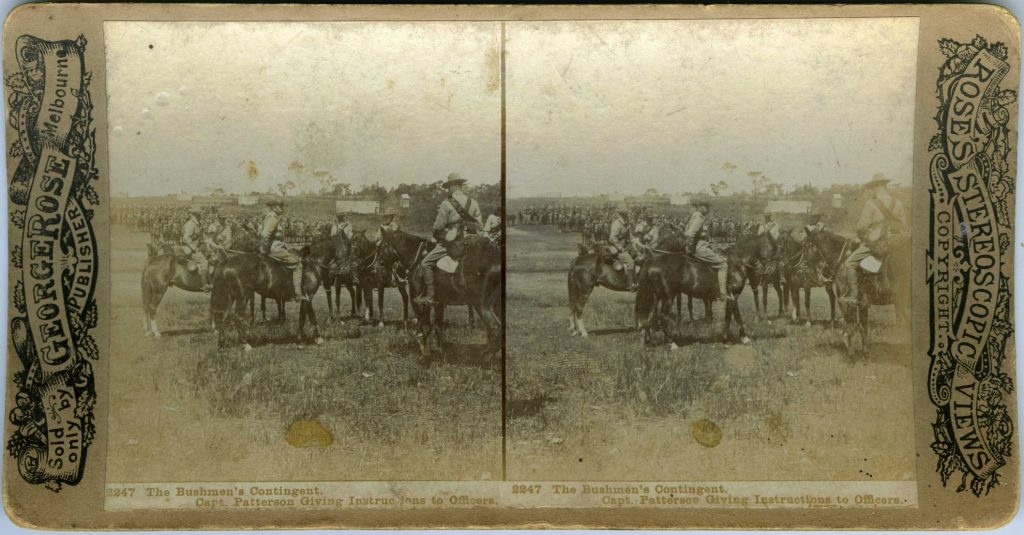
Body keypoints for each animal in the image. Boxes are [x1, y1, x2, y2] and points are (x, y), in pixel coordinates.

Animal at [409, 233, 501, 362]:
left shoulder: (420, 302)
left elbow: (424, 326)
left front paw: (425, 355)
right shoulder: (439, 302)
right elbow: (438, 326)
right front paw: (440, 353)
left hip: (481, 304)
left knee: (494, 327)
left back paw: (486, 357)